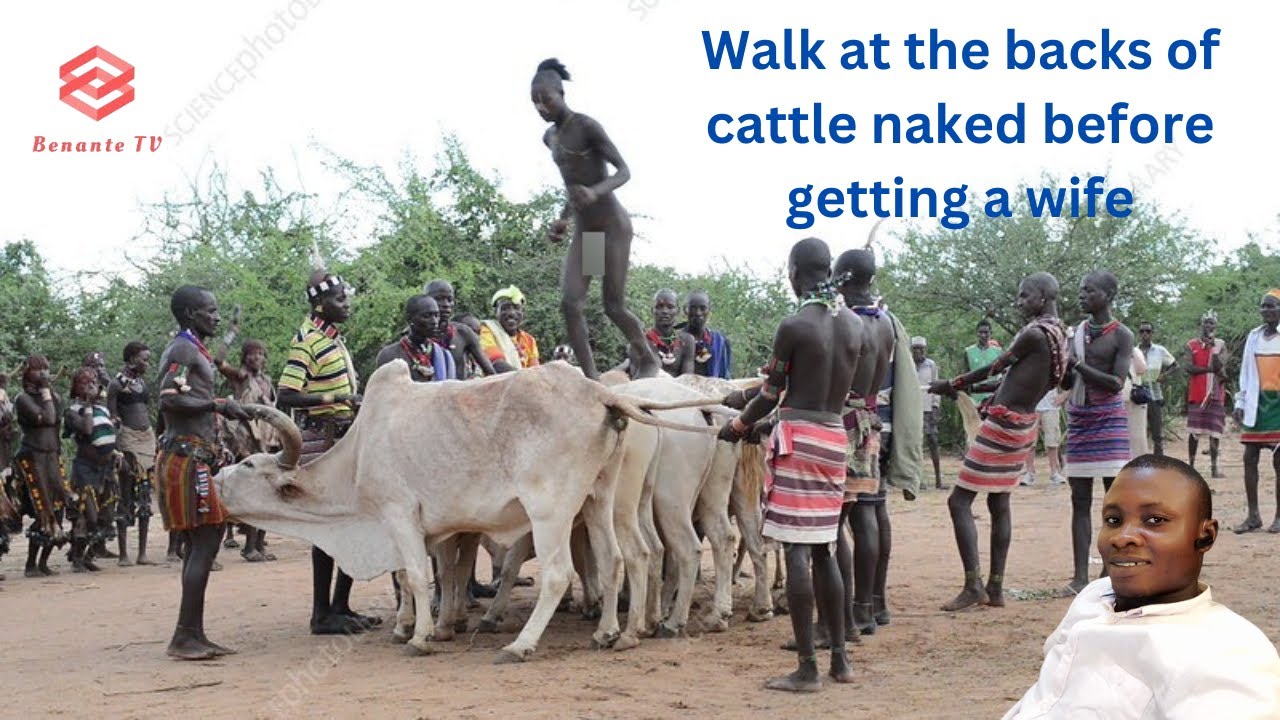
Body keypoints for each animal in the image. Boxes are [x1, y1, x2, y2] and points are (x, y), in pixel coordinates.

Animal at [215, 360, 720, 662]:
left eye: (249, 464)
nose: (217, 479)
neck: (357, 456)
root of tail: (600, 394)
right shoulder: (437, 531)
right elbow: (434, 577)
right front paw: (428, 626)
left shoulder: (399, 515)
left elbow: (417, 576)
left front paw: (420, 637)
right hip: (601, 501)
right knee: (620, 558)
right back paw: (611, 633)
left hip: (551, 512)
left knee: (562, 573)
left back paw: (522, 644)